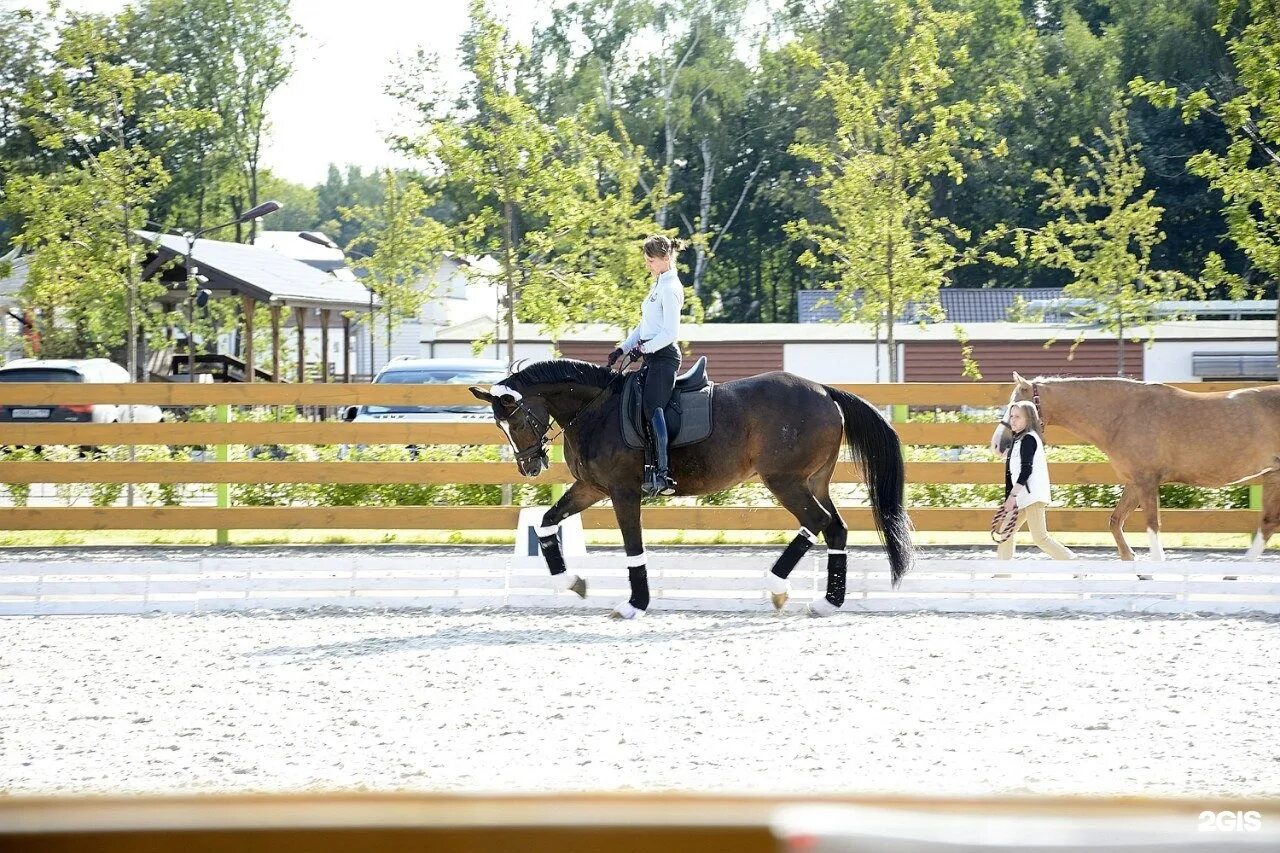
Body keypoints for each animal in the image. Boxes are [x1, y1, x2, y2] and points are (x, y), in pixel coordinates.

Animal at [471, 356, 911, 614]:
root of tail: (824, 391)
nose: (530, 467)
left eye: (517, 420)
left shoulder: (623, 492)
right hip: (813, 480)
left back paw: (777, 586)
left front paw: (636, 603)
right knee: (835, 528)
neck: (595, 410)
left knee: (816, 522)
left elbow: (633, 547)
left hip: (785, 480)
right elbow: (546, 523)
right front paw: (572, 582)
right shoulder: (591, 488)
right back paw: (829, 602)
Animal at [993, 371, 1280, 558]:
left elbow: (1152, 526)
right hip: (1273, 475)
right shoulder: (1133, 483)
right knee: (1267, 523)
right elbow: (1114, 521)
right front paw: (1132, 562)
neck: (1123, 415)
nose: (998, 444)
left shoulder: (1147, 481)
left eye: (1014, 406)